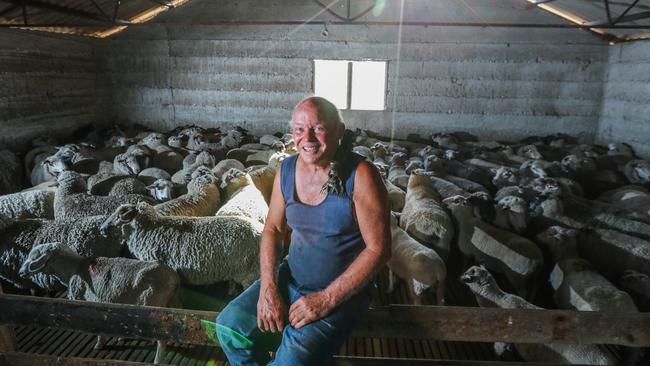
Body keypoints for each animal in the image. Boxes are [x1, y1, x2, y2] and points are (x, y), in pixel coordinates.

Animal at [19, 243, 178, 364]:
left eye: (33, 257)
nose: (20, 272)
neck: (74, 269)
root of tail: (173, 279)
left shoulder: (94, 305)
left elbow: (99, 329)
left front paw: (99, 344)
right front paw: (121, 337)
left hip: (154, 306)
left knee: (162, 339)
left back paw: (158, 360)